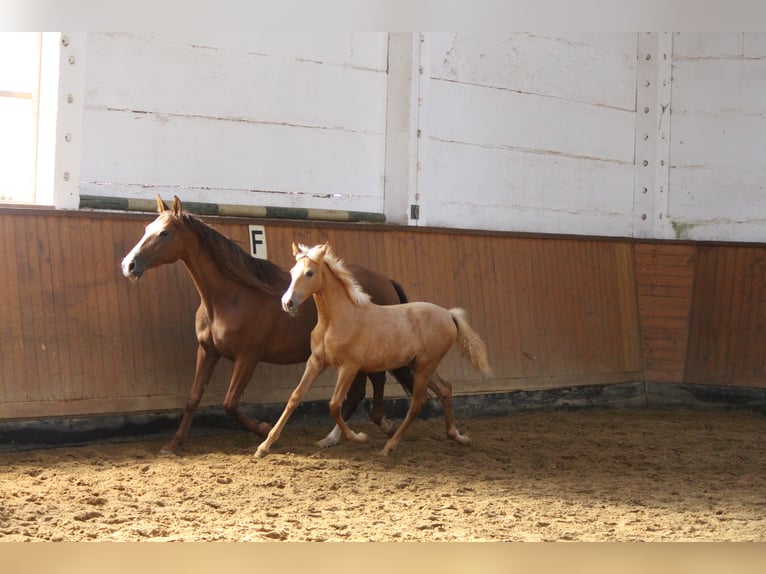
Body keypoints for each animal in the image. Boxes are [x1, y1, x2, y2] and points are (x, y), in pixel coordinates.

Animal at [121, 196, 420, 456]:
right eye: (147, 229)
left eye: (164, 233)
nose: (129, 264)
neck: (231, 296)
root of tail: (386, 280)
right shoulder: (207, 351)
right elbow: (193, 398)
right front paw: (173, 444)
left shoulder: (248, 357)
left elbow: (230, 403)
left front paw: (264, 430)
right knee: (366, 388)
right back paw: (347, 433)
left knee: (367, 387)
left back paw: (362, 429)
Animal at [255, 243, 492, 460]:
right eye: (292, 272)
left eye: (309, 273)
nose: (287, 303)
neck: (336, 319)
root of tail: (449, 315)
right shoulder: (316, 362)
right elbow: (295, 397)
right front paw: (264, 446)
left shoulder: (349, 367)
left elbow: (335, 405)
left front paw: (357, 437)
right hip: (420, 365)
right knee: (445, 389)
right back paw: (458, 436)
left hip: (425, 366)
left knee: (418, 402)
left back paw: (389, 446)